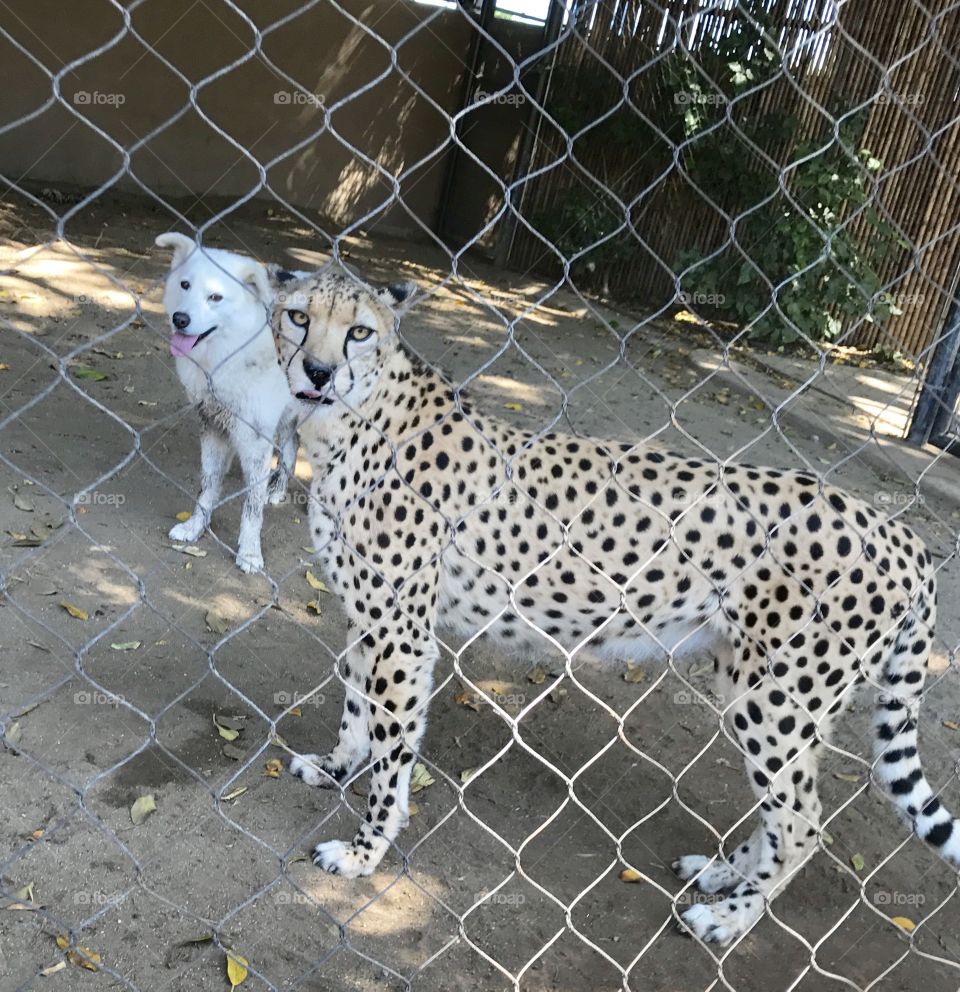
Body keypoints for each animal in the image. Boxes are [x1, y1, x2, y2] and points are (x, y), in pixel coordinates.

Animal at [272, 268, 955, 946]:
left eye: (360, 331)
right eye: (299, 316)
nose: (318, 372)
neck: (348, 423)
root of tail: (903, 536)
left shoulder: (403, 633)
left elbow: (392, 754)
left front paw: (364, 853)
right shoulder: (370, 620)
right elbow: (356, 710)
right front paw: (336, 768)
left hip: (778, 699)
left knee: (803, 823)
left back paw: (729, 916)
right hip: (756, 683)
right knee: (783, 811)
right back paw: (720, 872)